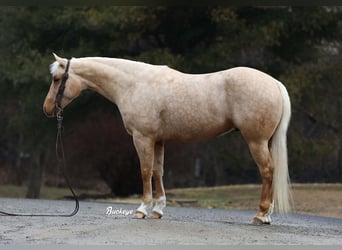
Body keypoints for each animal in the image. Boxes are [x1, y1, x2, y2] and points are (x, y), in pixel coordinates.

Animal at [43, 53, 292, 225]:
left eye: (56, 79)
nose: (47, 108)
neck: (134, 84)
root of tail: (274, 83)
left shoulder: (143, 138)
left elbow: (144, 171)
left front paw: (142, 209)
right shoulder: (158, 140)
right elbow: (157, 172)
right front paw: (157, 210)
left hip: (256, 142)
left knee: (267, 171)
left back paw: (260, 215)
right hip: (266, 142)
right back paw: (266, 215)